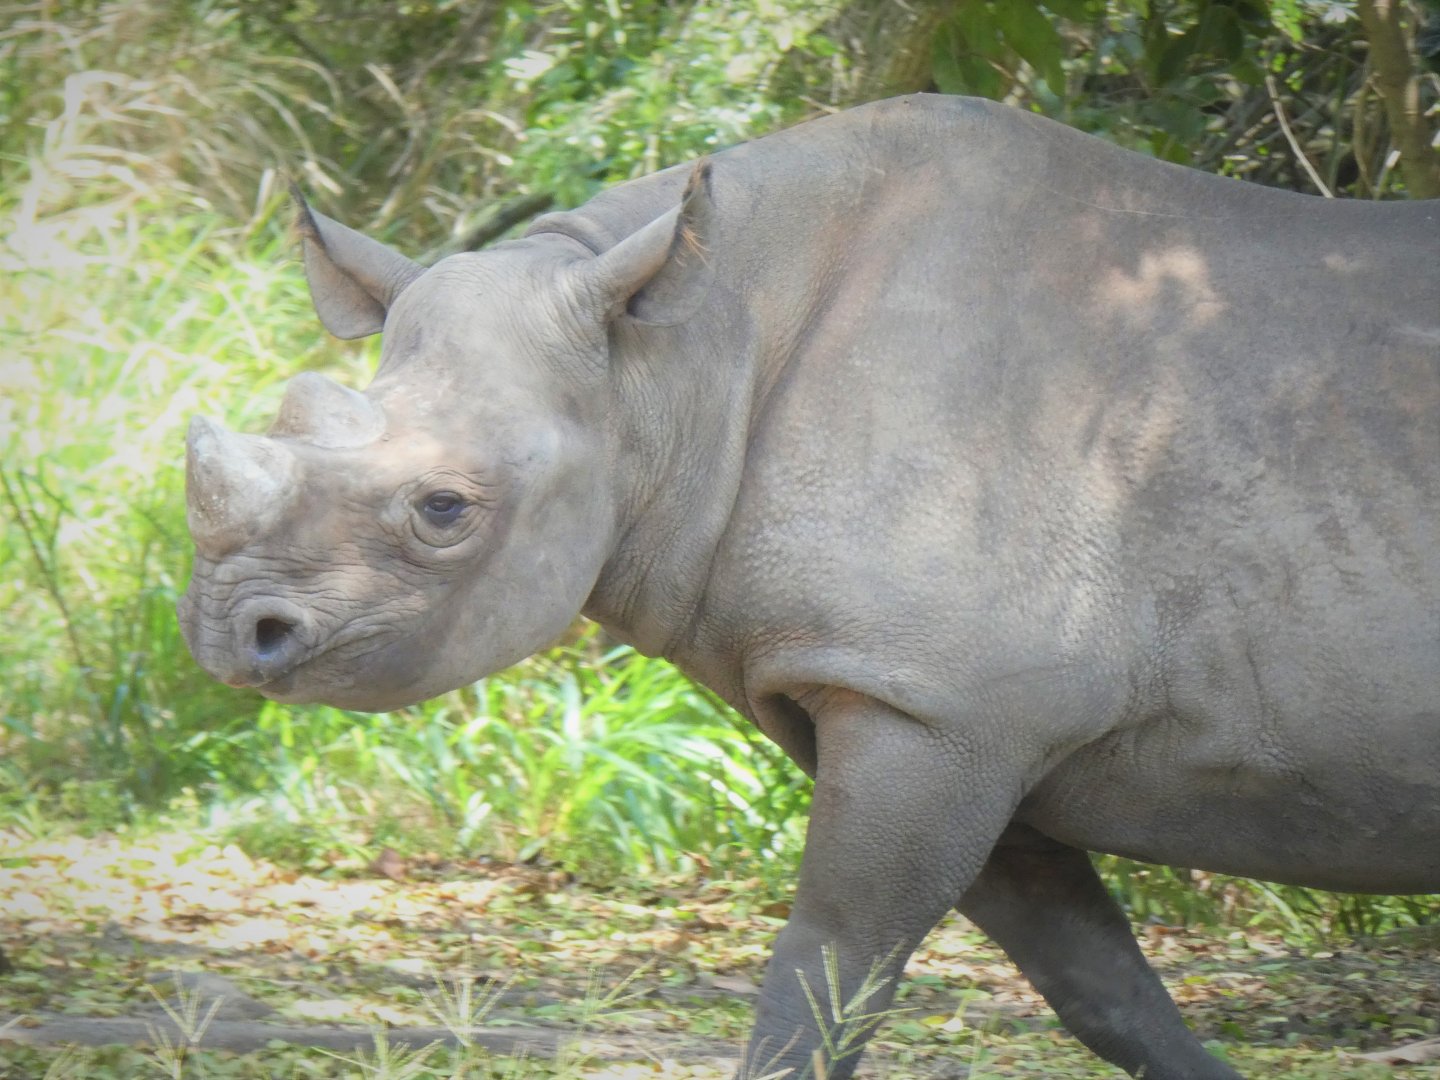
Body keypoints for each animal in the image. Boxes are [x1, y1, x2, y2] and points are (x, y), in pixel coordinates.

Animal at [179, 95, 1440, 1078]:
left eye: (444, 510)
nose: (226, 636)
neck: (670, 369)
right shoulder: (944, 708)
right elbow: (1098, 985)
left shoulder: (937, 702)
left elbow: (822, 976)